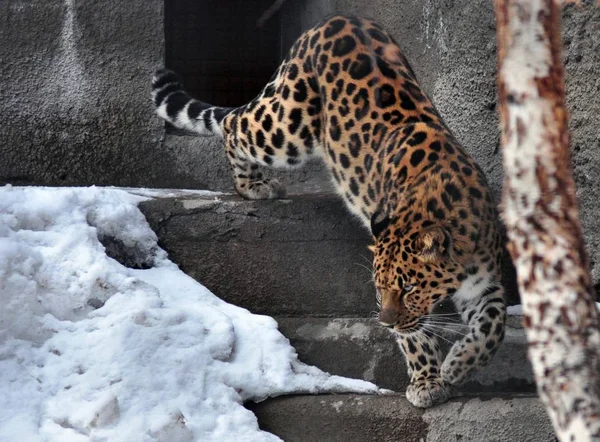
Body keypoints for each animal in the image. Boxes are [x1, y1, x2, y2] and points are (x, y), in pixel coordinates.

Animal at [154, 13, 506, 408]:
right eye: (380, 287)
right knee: (235, 125)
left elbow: (493, 327)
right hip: (287, 127)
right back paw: (252, 185)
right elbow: (415, 337)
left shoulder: (485, 282)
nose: (385, 323)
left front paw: (459, 364)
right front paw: (428, 381)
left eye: (410, 287)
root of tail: (336, 19)